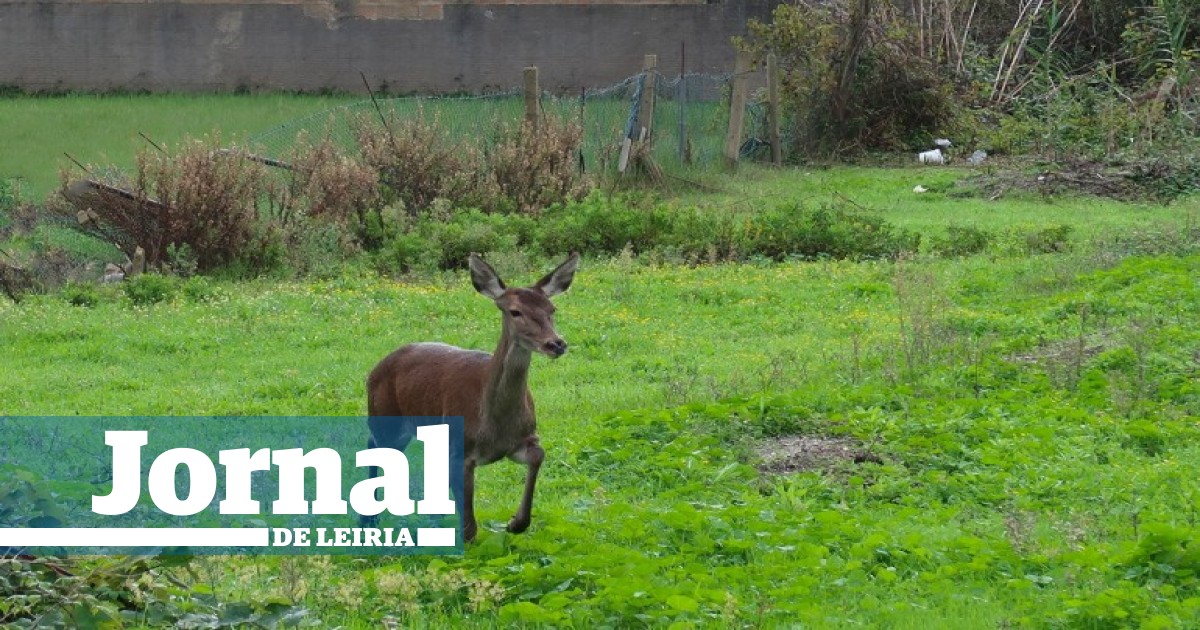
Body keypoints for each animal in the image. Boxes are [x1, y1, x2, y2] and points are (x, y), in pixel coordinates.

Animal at [360, 250, 576, 540]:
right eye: (515, 311)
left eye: (552, 310)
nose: (556, 343)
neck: (494, 426)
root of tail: (376, 368)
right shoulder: (459, 447)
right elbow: (469, 526)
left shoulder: (522, 439)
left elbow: (538, 455)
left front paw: (516, 523)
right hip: (385, 416)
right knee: (373, 444)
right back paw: (369, 519)